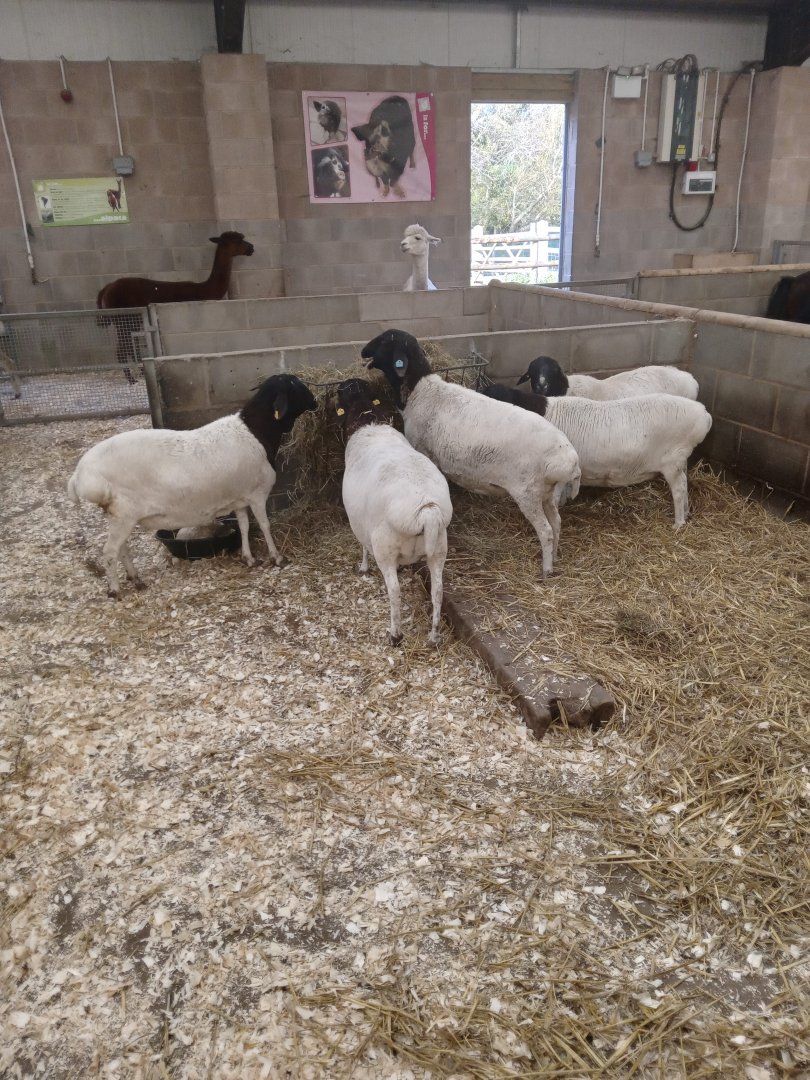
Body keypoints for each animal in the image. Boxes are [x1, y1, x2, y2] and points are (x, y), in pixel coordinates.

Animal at [67, 373, 317, 597]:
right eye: (294, 384)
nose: (315, 401)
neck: (256, 432)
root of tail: (80, 475)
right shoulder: (257, 494)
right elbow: (265, 525)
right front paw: (277, 557)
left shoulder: (239, 498)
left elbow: (245, 526)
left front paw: (248, 558)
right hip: (124, 514)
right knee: (110, 551)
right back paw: (115, 590)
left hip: (119, 515)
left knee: (121, 548)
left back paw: (135, 579)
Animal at [336, 378, 452, 646]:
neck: (369, 421)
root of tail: (426, 511)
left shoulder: (361, 525)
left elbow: (363, 547)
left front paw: (363, 568)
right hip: (438, 549)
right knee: (438, 591)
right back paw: (433, 636)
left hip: (385, 548)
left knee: (395, 592)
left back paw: (395, 635)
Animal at [361, 330, 581, 577]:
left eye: (384, 340)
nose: (363, 351)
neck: (421, 390)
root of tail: (568, 458)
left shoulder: (422, 449)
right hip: (546, 492)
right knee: (557, 522)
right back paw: (554, 557)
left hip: (528, 493)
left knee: (545, 531)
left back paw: (546, 570)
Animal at [481, 382, 712, 527]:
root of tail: (704, 414)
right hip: (680, 461)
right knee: (685, 485)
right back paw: (687, 514)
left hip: (673, 461)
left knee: (679, 489)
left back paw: (678, 524)